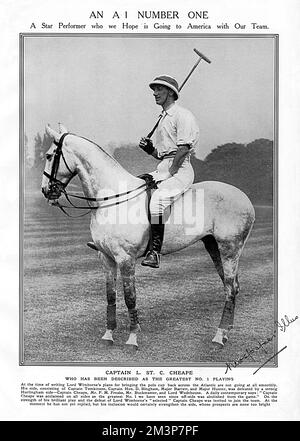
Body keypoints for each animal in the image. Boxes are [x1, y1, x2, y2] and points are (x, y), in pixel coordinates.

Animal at [41, 124, 254, 350]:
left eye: (48, 155)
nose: (46, 191)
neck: (111, 199)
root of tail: (245, 198)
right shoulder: (106, 257)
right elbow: (110, 295)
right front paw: (108, 334)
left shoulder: (125, 258)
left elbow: (130, 297)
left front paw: (132, 338)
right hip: (213, 245)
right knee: (232, 287)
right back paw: (226, 332)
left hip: (230, 248)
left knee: (230, 289)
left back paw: (219, 336)